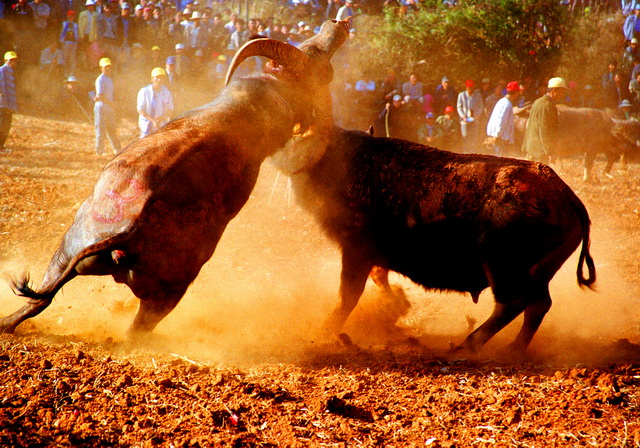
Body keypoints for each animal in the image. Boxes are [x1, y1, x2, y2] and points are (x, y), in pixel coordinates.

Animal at [290, 126, 596, 354]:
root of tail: (565, 193)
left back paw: (467, 346)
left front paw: (325, 331)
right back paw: (512, 348)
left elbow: (348, 295)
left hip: (500, 265)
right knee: (538, 305)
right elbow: (379, 278)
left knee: (512, 303)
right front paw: (395, 304)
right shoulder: (374, 256)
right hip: (538, 274)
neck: (350, 162)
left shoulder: (356, 250)